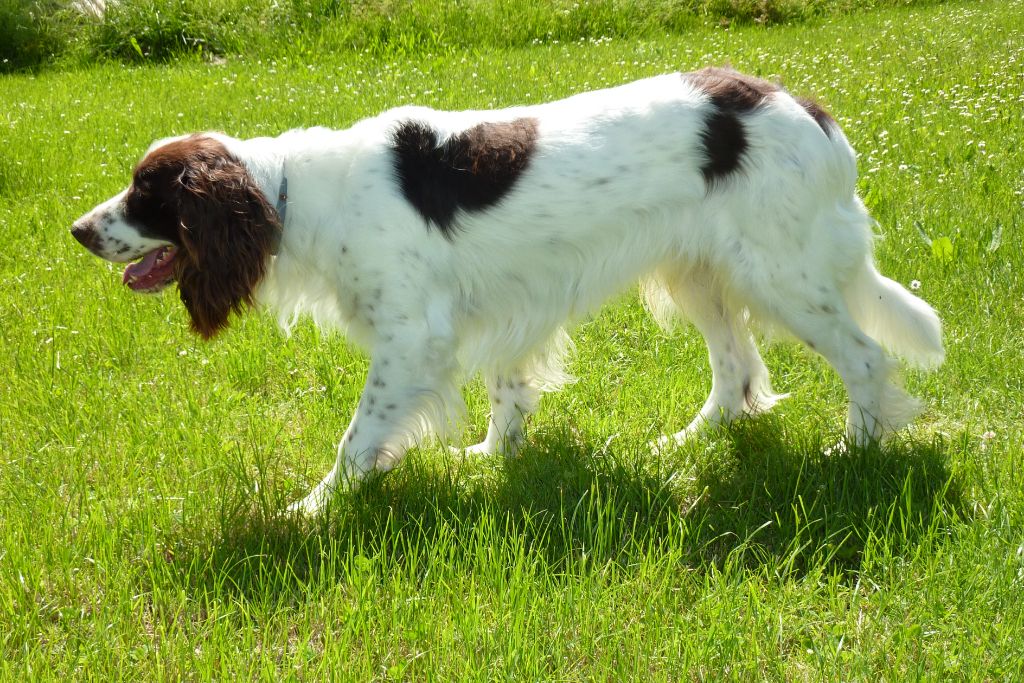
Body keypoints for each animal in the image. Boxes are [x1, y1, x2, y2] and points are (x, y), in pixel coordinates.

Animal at [70, 68, 942, 511]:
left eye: (146, 193)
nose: (78, 230)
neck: (290, 191)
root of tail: (806, 106)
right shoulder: (498, 307)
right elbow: (507, 395)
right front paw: (491, 459)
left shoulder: (412, 336)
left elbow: (356, 438)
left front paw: (312, 511)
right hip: (700, 272)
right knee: (737, 370)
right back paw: (686, 444)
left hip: (781, 274)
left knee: (865, 358)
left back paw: (855, 449)